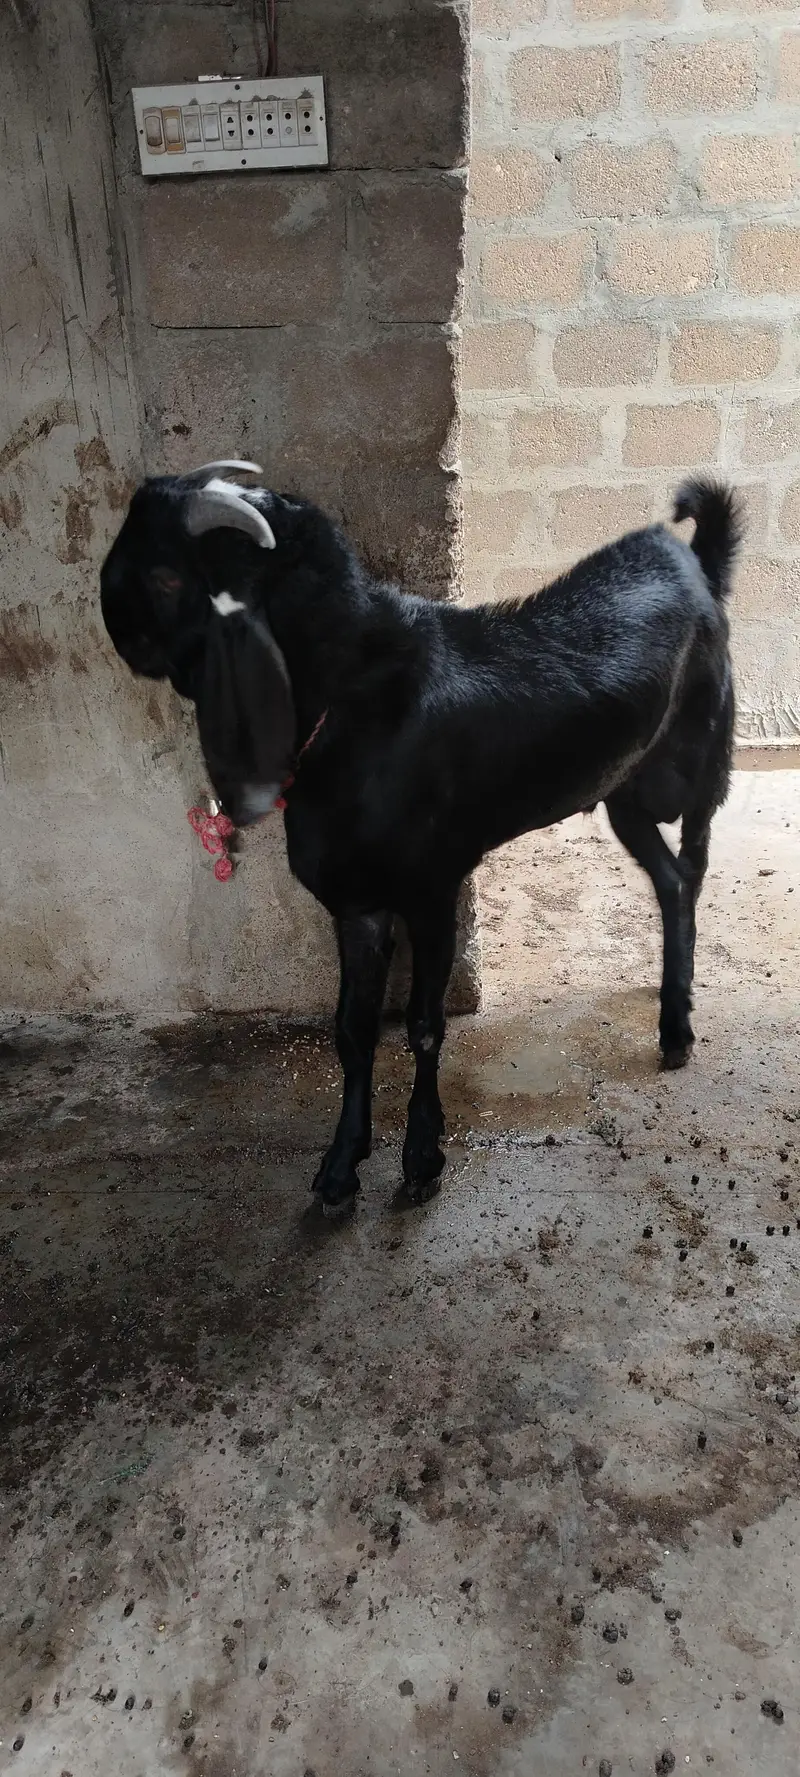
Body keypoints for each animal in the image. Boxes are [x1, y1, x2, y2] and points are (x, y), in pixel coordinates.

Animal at [100, 463, 742, 1212]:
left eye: (169, 576)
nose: (114, 623)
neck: (351, 708)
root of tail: (691, 562)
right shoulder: (357, 902)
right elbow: (351, 1030)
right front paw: (340, 1166)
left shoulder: (434, 888)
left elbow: (424, 1025)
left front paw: (422, 1156)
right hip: (623, 793)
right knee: (670, 881)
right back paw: (669, 1012)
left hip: (700, 762)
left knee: (693, 866)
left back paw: (679, 1024)